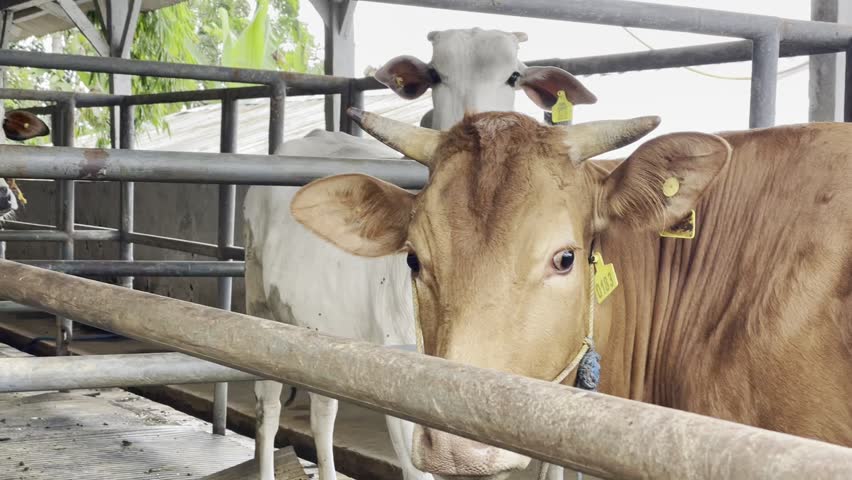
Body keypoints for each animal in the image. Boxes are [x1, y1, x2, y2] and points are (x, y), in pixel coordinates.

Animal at [244, 28, 596, 480]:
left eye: (514, 76)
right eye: (435, 74)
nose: (479, 132)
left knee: (323, 411)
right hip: (260, 309)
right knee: (267, 409)